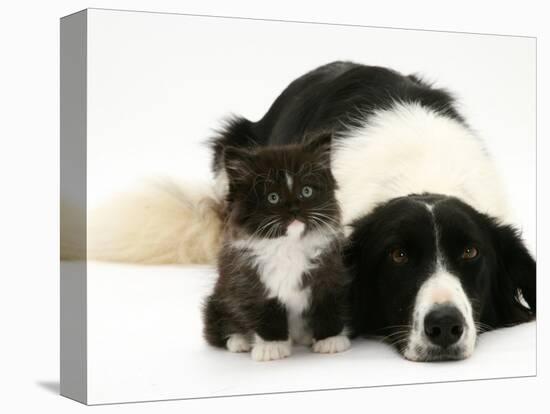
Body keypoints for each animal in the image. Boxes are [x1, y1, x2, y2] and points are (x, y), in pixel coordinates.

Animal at [203, 134, 350, 360]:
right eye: (273, 198)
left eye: (306, 191)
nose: (295, 209)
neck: (288, 245)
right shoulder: (248, 281)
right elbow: (265, 312)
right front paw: (271, 347)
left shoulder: (329, 272)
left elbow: (327, 305)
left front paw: (330, 339)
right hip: (217, 299)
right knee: (219, 327)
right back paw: (239, 340)